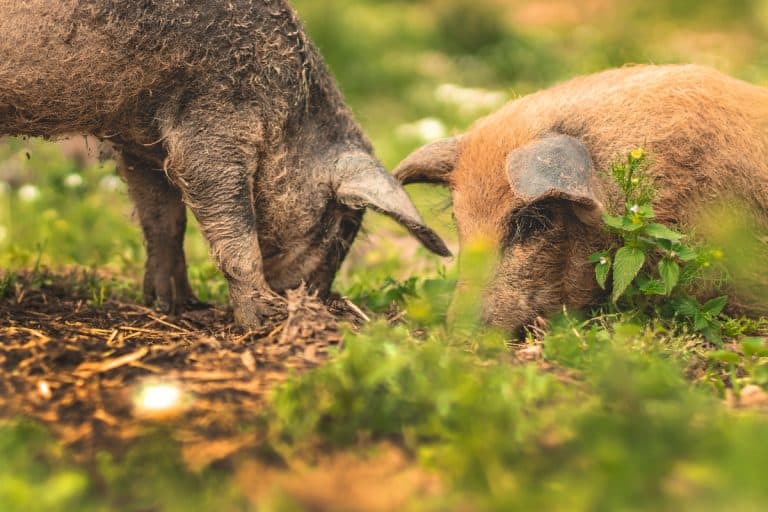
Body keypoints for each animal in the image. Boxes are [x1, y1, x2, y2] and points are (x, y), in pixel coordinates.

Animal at [0, 1, 450, 328]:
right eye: (342, 226)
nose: (316, 300)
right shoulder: (213, 125)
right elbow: (236, 232)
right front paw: (261, 321)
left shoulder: (144, 145)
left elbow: (164, 222)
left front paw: (177, 304)